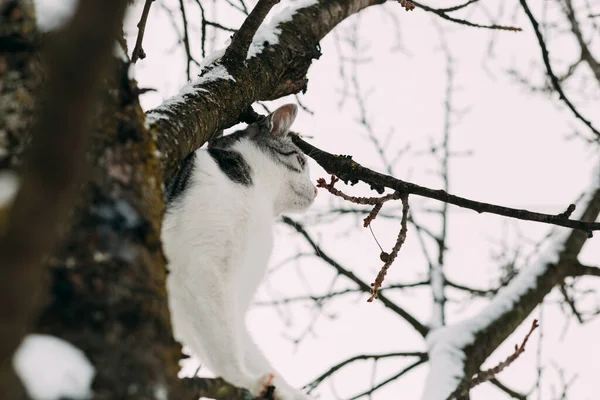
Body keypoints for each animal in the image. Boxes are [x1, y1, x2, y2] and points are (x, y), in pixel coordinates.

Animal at [162, 104, 316, 400]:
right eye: (302, 163)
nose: (316, 191)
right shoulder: (199, 268)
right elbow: (224, 343)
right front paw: (246, 380)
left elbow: (248, 350)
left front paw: (286, 392)